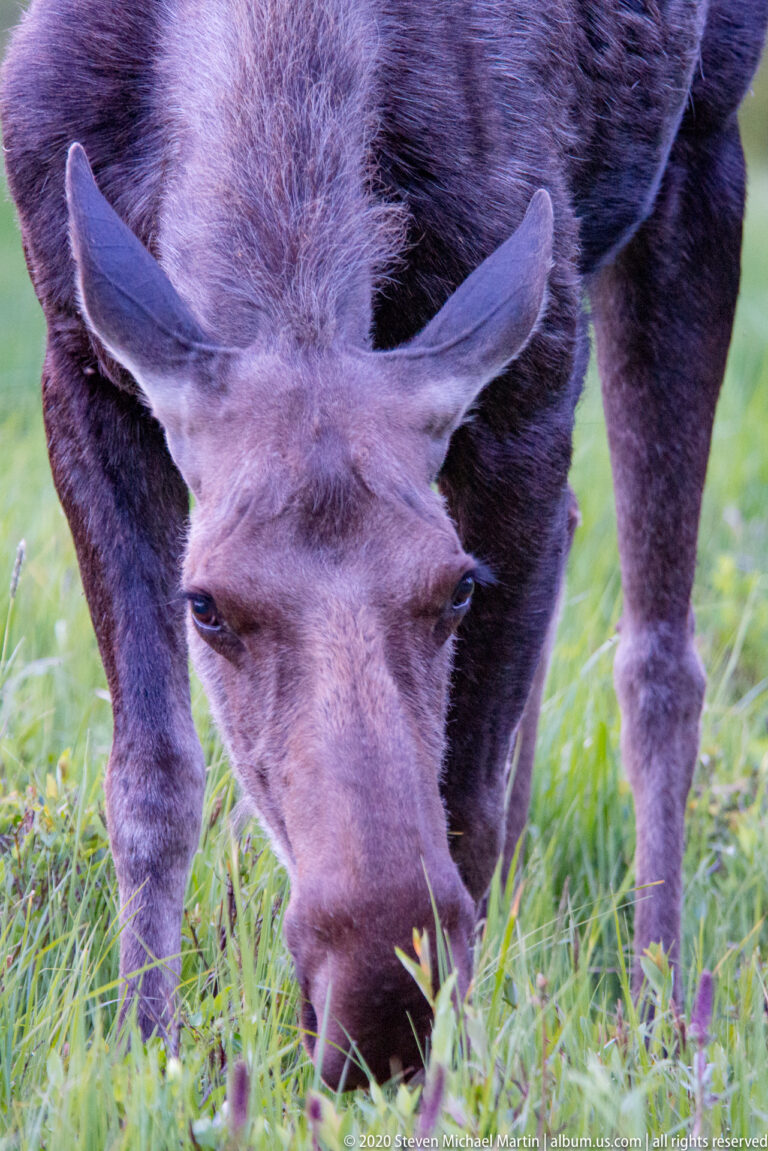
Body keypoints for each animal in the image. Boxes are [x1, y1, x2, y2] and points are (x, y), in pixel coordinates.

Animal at [2, 0, 766, 1090]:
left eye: (457, 590)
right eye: (206, 604)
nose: (379, 1007)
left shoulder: (535, 378)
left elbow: (466, 797)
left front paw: (457, 1067)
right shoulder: (78, 362)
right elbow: (152, 776)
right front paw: (148, 1049)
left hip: (701, 146)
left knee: (660, 657)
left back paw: (664, 1017)